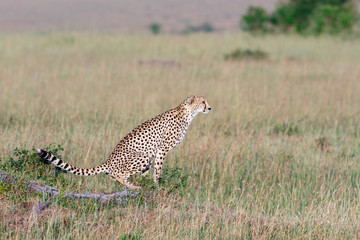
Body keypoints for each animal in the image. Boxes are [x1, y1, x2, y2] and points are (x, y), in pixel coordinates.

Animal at [35, 95, 211, 189]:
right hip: (141, 156)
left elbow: (147, 173)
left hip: (144, 157)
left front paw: (146, 182)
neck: (188, 113)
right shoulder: (162, 149)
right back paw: (132, 186)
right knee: (119, 175)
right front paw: (157, 185)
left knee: (112, 176)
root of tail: (108, 161)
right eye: (203, 102)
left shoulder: (157, 152)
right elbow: (158, 170)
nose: (209, 108)